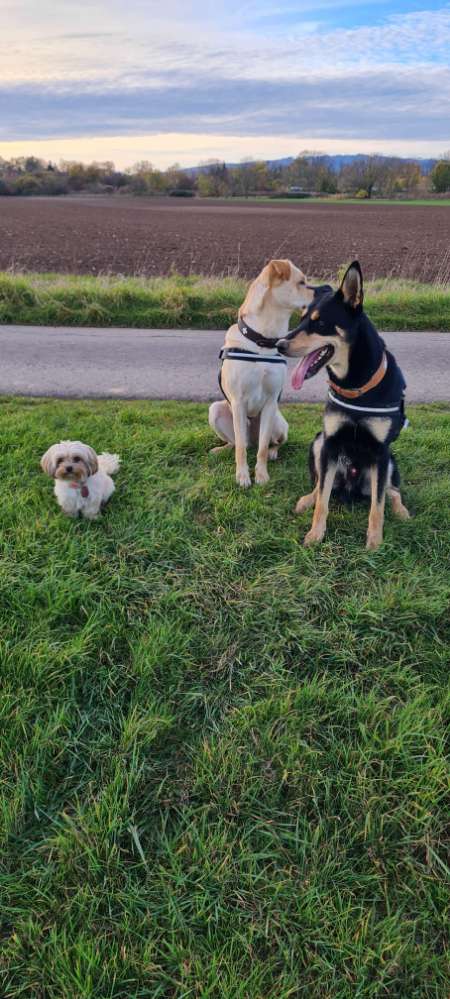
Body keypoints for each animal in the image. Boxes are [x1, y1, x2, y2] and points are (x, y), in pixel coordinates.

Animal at [209, 258, 314, 488]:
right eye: (301, 282)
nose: (329, 292)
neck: (262, 341)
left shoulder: (271, 401)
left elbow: (263, 448)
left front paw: (261, 475)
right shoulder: (238, 402)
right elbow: (240, 448)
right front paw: (242, 476)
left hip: (277, 421)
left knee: (271, 443)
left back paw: (274, 452)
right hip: (217, 410)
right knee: (241, 443)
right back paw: (222, 448)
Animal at [276, 262, 410, 552]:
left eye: (320, 323)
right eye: (300, 320)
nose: (279, 345)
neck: (355, 386)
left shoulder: (381, 452)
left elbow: (377, 507)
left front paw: (374, 543)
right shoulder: (331, 442)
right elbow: (323, 501)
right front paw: (315, 534)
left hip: (389, 462)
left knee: (390, 491)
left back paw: (401, 510)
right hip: (319, 443)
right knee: (319, 488)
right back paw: (307, 499)